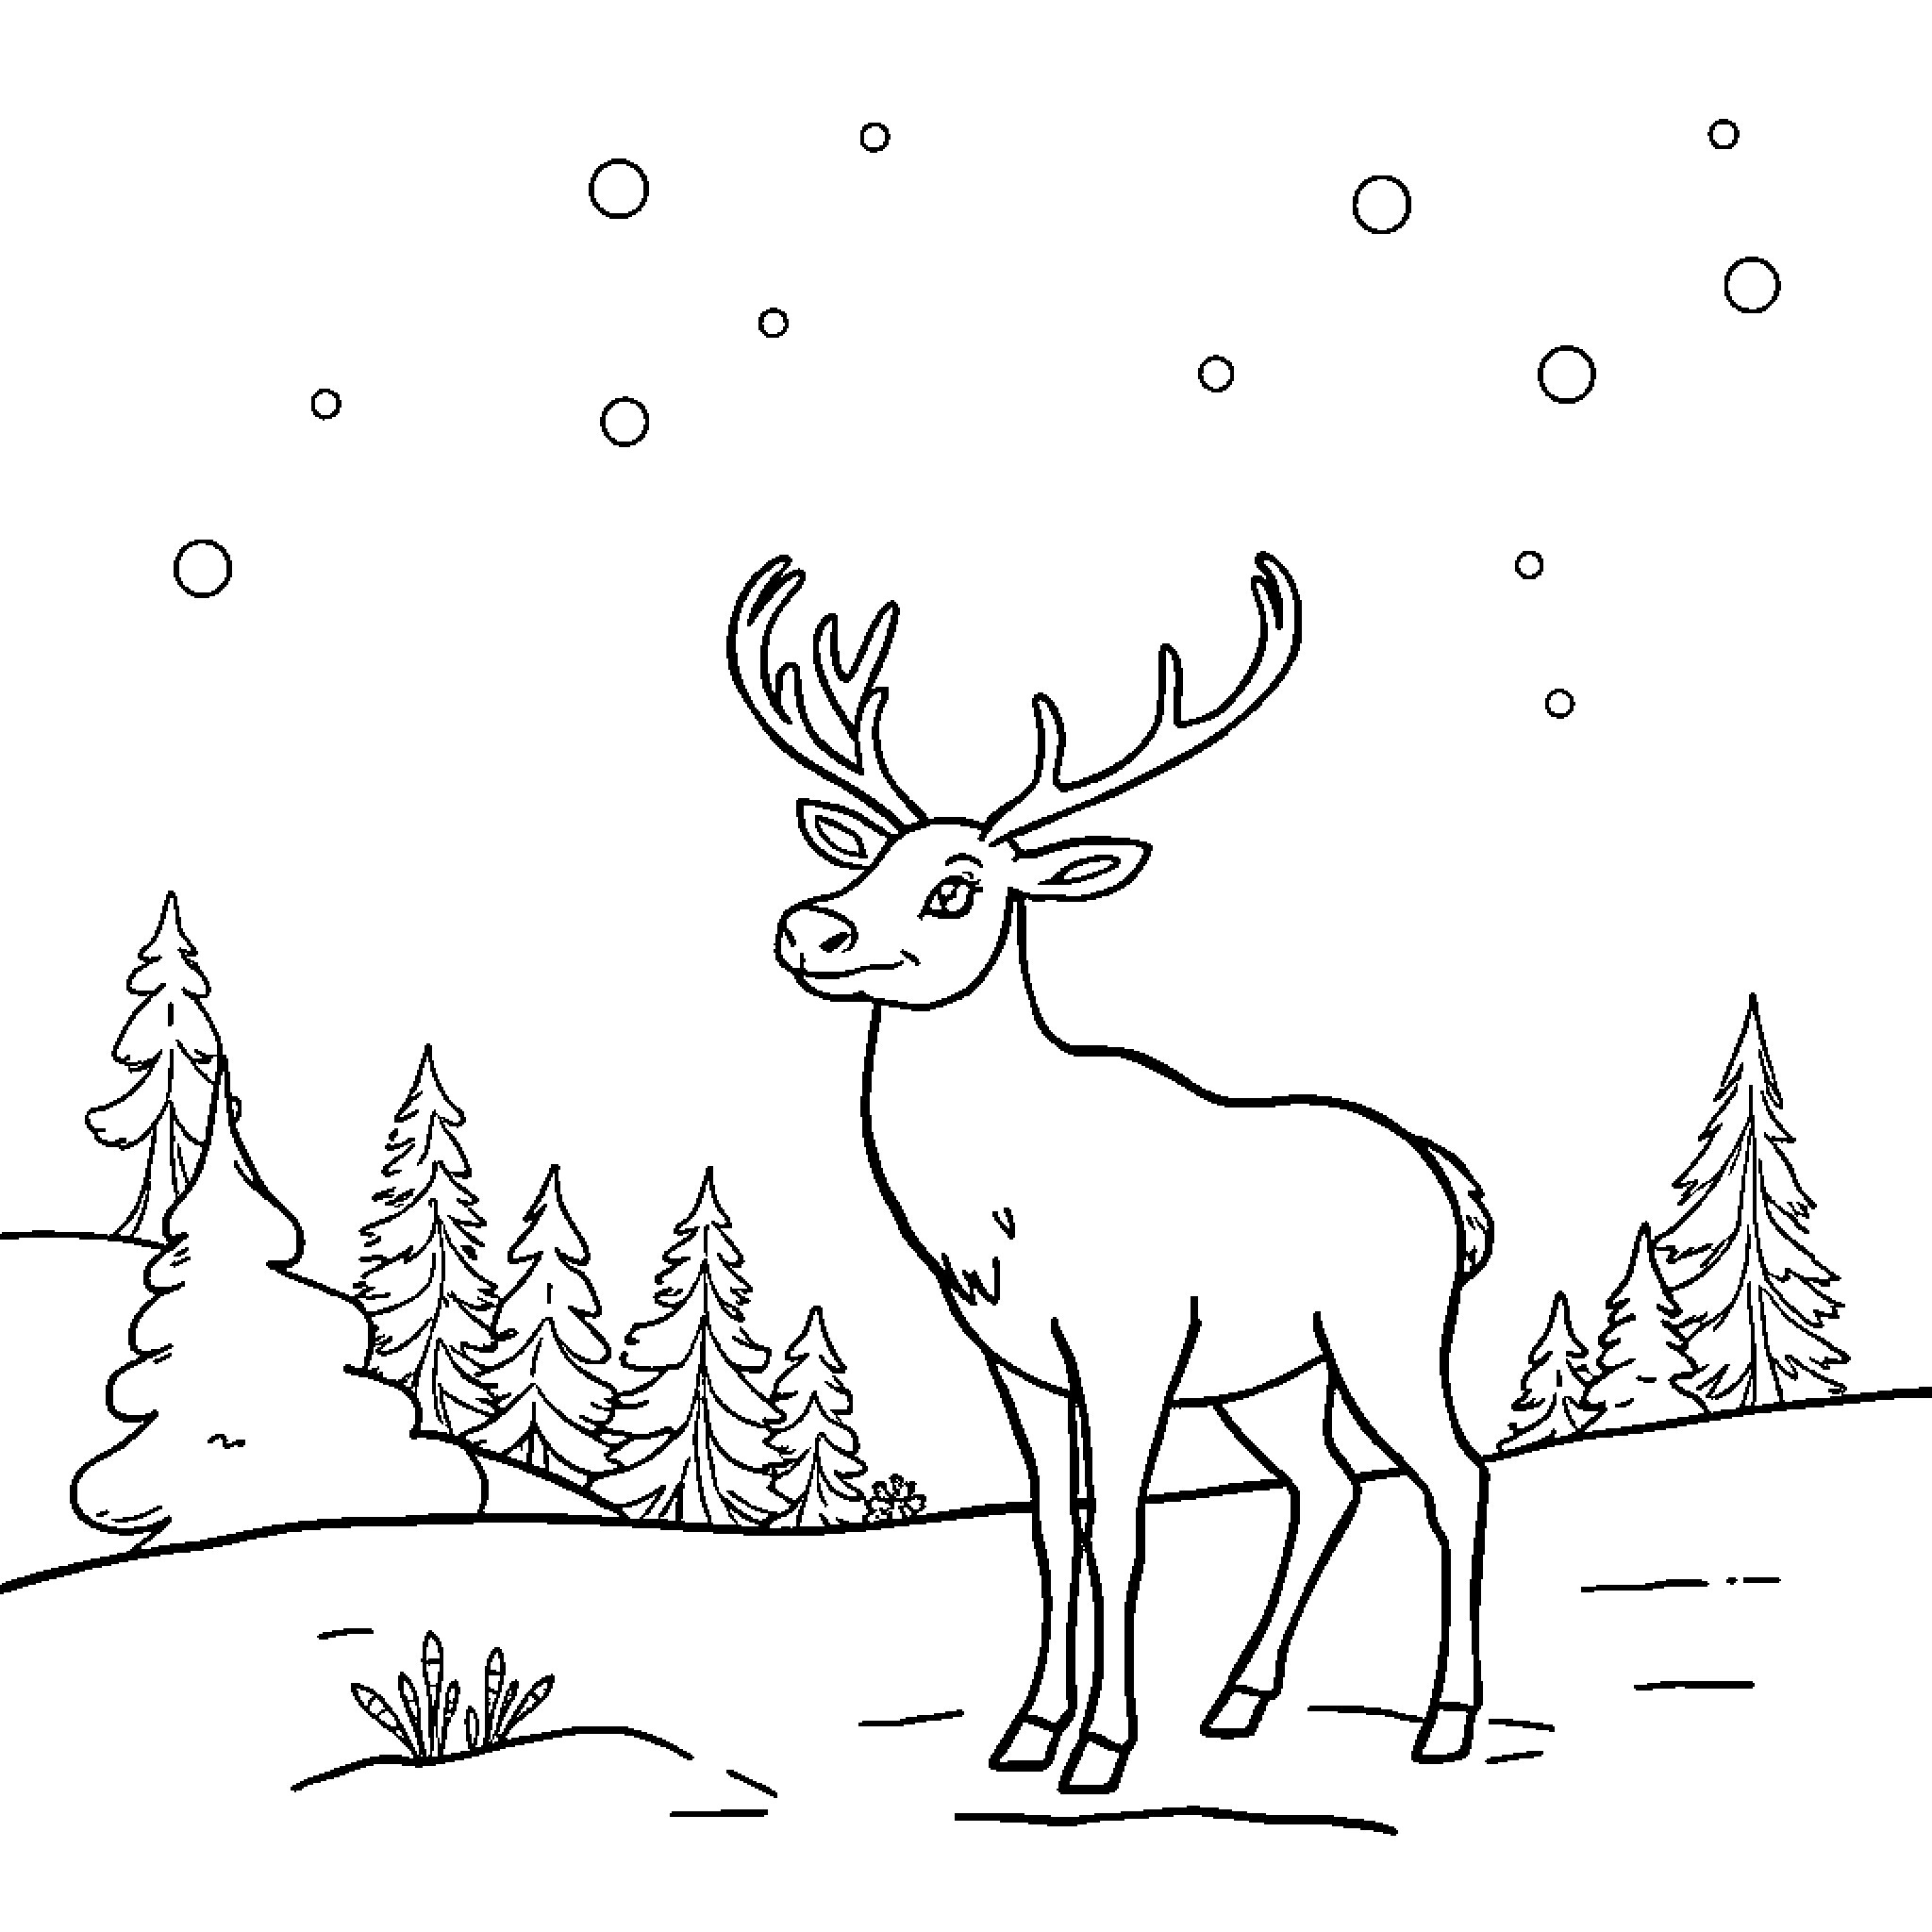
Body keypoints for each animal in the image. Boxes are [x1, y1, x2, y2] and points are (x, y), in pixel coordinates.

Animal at [727, 550, 1494, 1796]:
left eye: (956, 885)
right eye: (870, 857)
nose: (810, 927)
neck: (996, 1211)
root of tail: (1448, 1182)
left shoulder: (1128, 1342)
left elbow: (1122, 1532)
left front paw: (1099, 1746)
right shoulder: (1018, 1361)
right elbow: (1051, 1526)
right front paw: (1025, 1730)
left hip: (1387, 1330)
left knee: (1452, 1472)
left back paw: (1446, 1717)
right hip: (1268, 1377)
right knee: (1325, 1480)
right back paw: (1237, 1697)